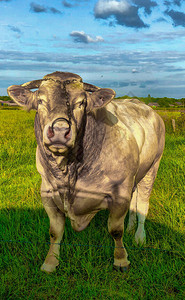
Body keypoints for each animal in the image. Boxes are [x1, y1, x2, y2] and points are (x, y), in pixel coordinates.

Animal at [7, 71, 165, 274]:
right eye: (41, 100)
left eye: (81, 103)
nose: (60, 131)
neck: (68, 170)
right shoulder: (47, 193)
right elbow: (55, 231)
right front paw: (50, 262)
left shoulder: (120, 193)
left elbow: (116, 230)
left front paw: (121, 260)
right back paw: (131, 228)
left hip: (152, 167)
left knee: (143, 204)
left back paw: (139, 236)